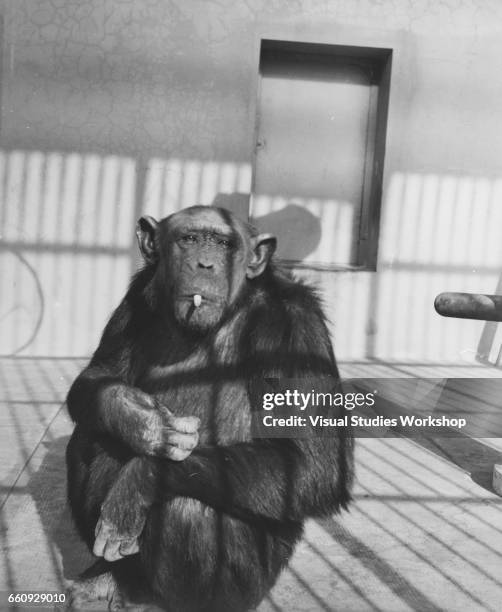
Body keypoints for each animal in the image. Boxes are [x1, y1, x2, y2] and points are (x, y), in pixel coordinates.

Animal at [64, 207, 352, 612]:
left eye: (224, 243)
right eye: (189, 239)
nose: (205, 264)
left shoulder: (297, 327)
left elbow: (313, 465)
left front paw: (138, 483)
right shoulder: (135, 295)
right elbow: (97, 375)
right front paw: (141, 421)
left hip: (252, 584)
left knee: (187, 508)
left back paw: (153, 598)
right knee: (90, 438)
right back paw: (109, 577)